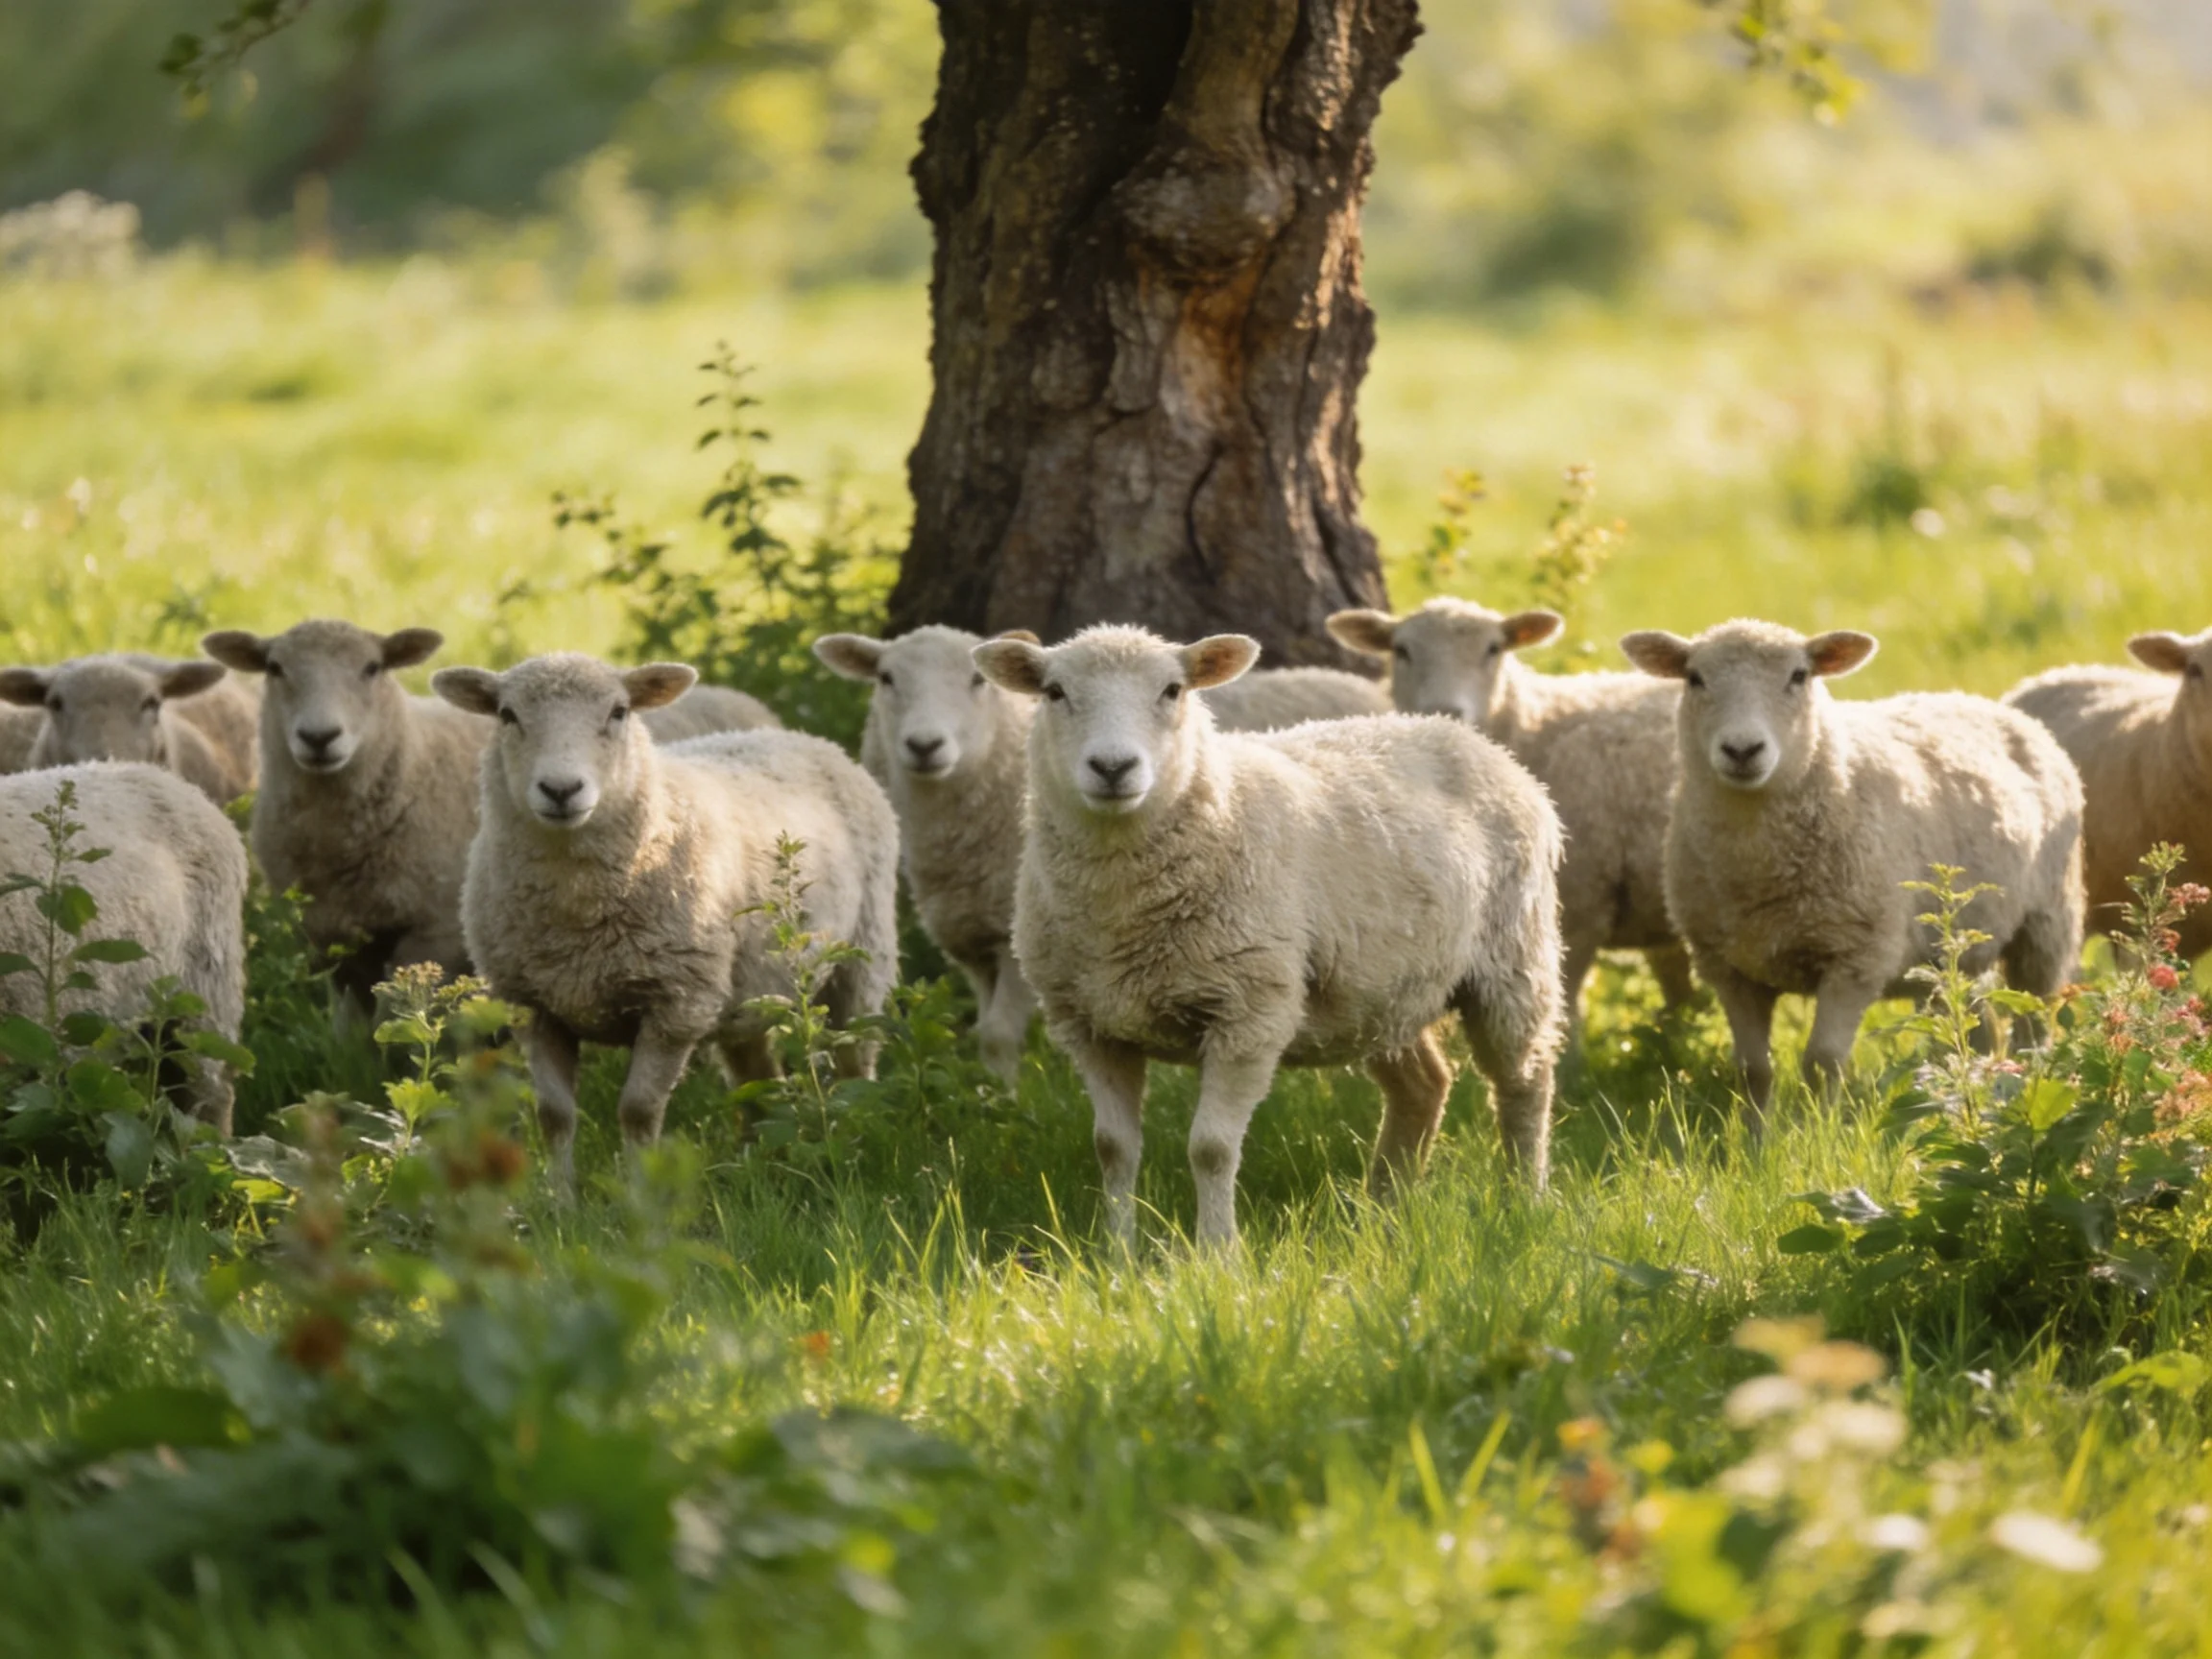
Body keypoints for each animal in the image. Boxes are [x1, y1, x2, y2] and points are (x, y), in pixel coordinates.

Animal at [431, 653, 900, 1184]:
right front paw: (560, 1198)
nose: (561, 789)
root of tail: (805, 738)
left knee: (856, 1059)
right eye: (507, 715)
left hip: (864, 956)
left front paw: (640, 1194)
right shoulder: (532, 1005)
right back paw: (760, 1159)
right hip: (751, 989)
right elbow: (554, 1116)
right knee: (758, 1076)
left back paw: (858, 1138)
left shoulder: (677, 1002)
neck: (577, 914)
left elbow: (638, 1110)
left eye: (619, 712)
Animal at [815, 626, 1040, 1081]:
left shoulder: (1016, 937)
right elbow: (985, 1031)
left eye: (977, 679)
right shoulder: (973, 937)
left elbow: (999, 1033)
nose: (924, 745)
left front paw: (1010, 1096)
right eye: (885, 678)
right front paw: (993, 1089)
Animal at [972, 624, 1565, 1249]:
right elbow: (1113, 1149)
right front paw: (1117, 1254)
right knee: (1424, 1086)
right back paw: (1383, 1210)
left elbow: (1210, 1149)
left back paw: (1524, 1199)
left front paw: (1216, 1253)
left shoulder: (1248, 1013)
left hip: (1513, 961)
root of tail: (1465, 736)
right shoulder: (1090, 1025)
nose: (1113, 767)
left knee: (1525, 1083)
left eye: (1173, 690)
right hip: (1383, 992)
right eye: (1055, 692)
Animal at [1329, 597, 1693, 1020]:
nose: (1446, 710)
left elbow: (1567, 1013)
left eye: (1493, 648)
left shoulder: (1581, 904)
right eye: (1401, 650)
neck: (1536, 726)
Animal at [1622, 619, 2084, 1117]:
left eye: (1799, 676)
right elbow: (1752, 1071)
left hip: (2047, 926)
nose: (1742, 750)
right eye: (1694, 678)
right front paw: (1755, 1135)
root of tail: (1983, 702)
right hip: (1952, 957)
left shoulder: (1856, 956)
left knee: (2032, 1030)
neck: (1759, 869)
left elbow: (1822, 1061)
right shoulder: (1729, 968)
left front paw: (1820, 1130)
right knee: (1980, 1031)